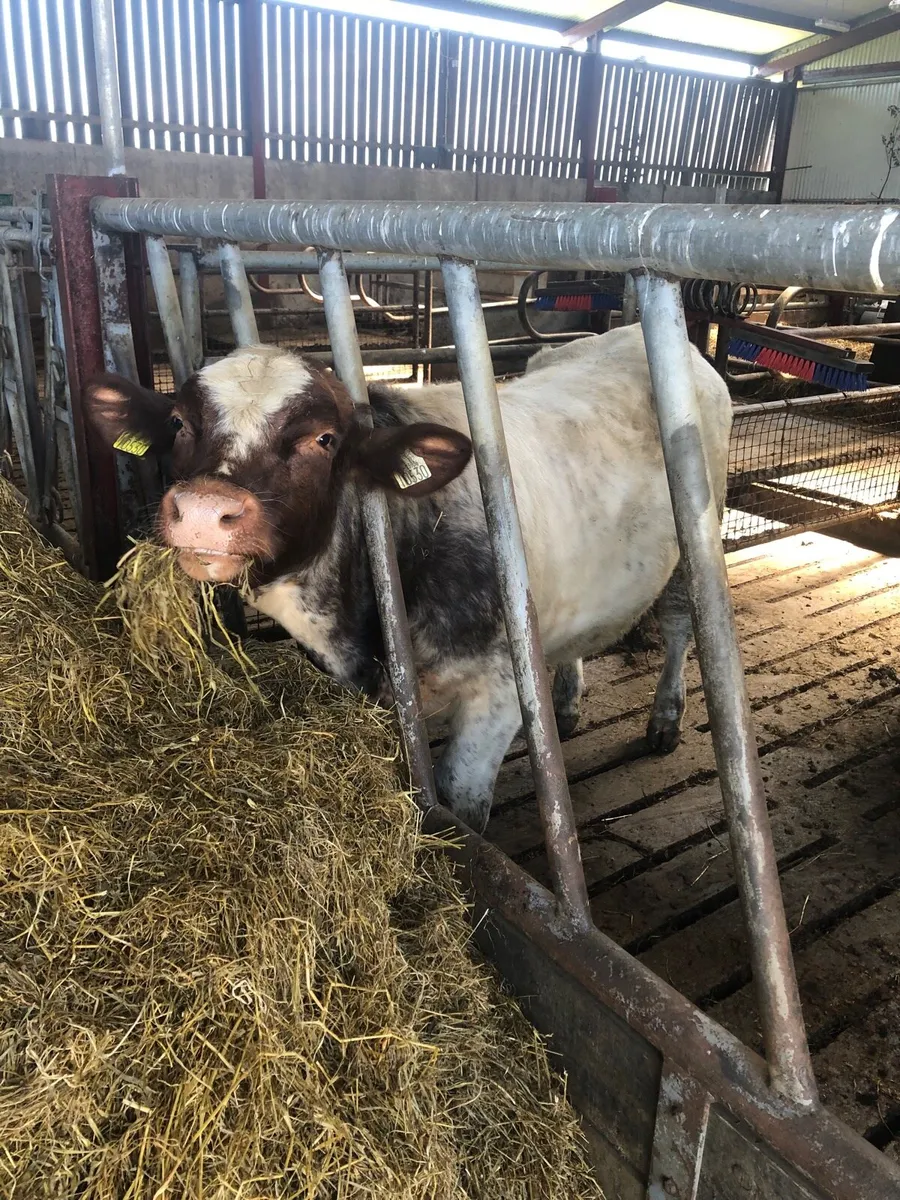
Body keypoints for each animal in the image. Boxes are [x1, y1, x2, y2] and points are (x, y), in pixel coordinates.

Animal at [83, 324, 732, 833]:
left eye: (324, 439)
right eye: (177, 422)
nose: (203, 508)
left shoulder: (497, 690)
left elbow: (460, 805)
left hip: (694, 544)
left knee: (680, 626)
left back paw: (665, 719)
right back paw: (567, 703)